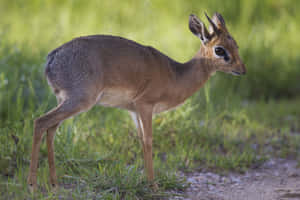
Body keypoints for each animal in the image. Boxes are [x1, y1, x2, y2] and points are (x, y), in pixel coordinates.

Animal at [27, 12, 246, 191]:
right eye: (219, 50)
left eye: (236, 44)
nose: (242, 70)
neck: (175, 74)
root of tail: (52, 58)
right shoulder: (145, 106)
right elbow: (148, 141)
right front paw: (153, 185)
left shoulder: (133, 111)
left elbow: (140, 141)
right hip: (79, 101)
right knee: (40, 122)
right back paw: (32, 185)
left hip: (65, 100)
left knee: (51, 129)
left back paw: (54, 184)